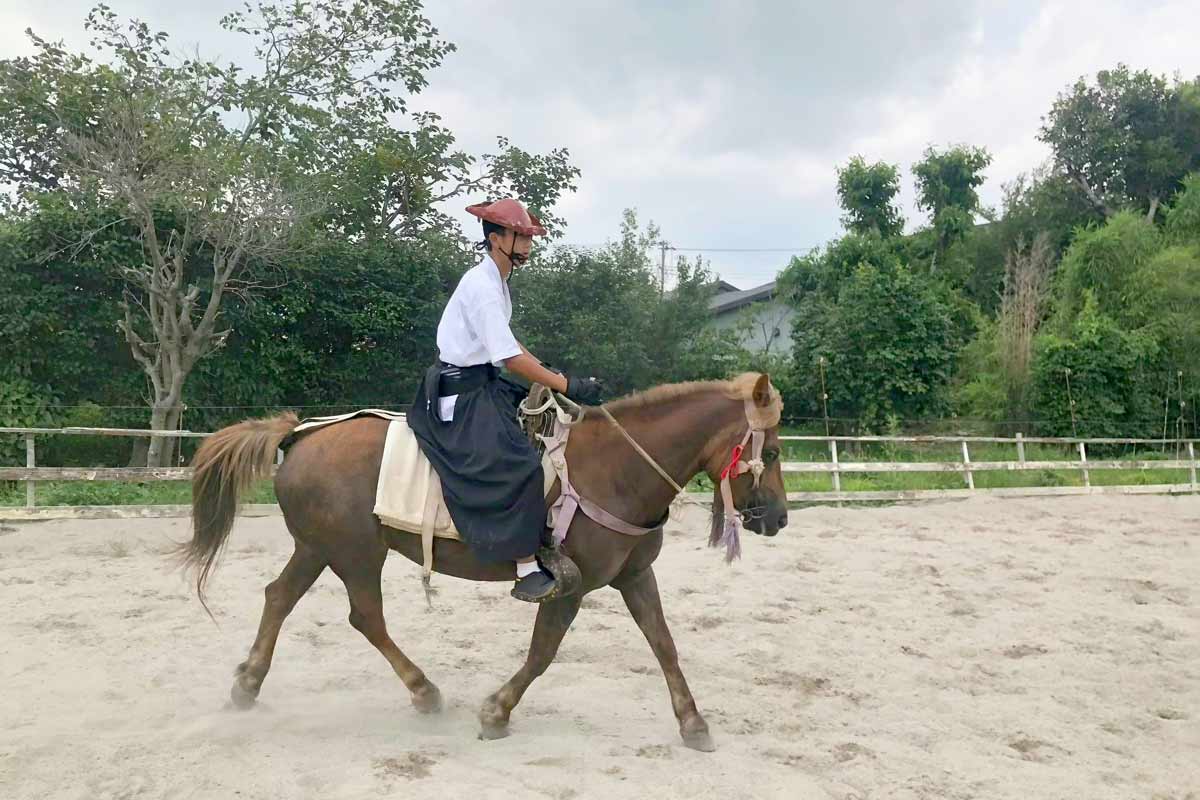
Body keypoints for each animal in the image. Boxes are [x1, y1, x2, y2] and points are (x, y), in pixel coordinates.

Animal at [182, 372, 788, 751]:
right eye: (776, 451)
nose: (779, 518)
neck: (618, 467)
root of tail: (300, 436)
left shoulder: (635, 577)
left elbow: (664, 645)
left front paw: (693, 723)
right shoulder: (569, 587)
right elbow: (542, 654)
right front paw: (497, 711)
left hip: (318, 548)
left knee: (279, 597)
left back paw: (248, 683)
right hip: (355, 553)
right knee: (365, 617)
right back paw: (423, 690)